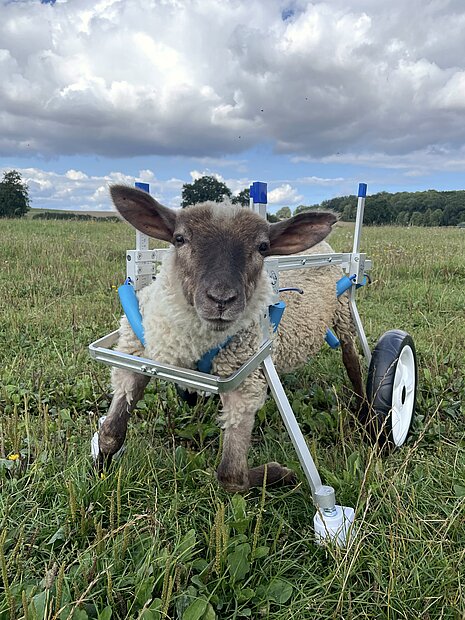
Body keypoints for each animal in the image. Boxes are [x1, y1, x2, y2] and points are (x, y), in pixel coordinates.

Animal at [97, 186, 366, 492]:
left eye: (263, 247)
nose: (221, 300)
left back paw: (366, 412)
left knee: (352, 361)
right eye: (179, 239)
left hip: (343, 311)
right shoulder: (137, 358)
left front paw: (279, 473)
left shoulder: (243, 385)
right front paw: (102, 471)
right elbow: (109, 433)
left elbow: (231, 475)